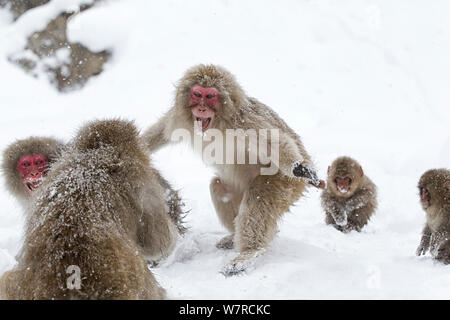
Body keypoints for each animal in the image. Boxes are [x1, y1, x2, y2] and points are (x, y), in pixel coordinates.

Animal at [0, 120, 180, 300]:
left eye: (38, 162)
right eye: (26, 164)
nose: (33, 173)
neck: (97, 154)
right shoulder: (142, 181)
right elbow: (159, 242)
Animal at [142, 64, 326, 276]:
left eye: (210, 96)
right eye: (197, 94)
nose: (201, 107)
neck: (217, 123)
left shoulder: (244, 122)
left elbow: (274, 141)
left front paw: (301, 168)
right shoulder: (179, 118)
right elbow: (162, 131)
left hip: (285, 182)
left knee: (259, 197)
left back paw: (249, 253)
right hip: (240, 188)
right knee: (219, 187)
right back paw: (234, 237)